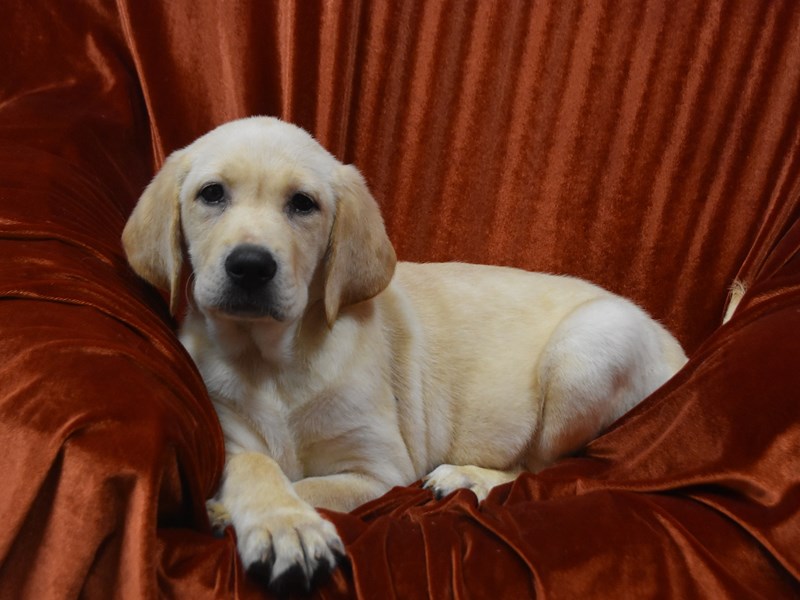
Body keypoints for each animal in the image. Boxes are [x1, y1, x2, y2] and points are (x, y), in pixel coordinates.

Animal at [123, 116, 688, 592]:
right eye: (211, 194)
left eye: (303, 204)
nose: (250, 266)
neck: (273, 360)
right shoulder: (230, 436)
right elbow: (260, 466)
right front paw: (272, 518)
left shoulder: (381, 473)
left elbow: (311, 485)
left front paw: (278, 522)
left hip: (589, 346)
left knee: (543, 468)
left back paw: (468, 476)